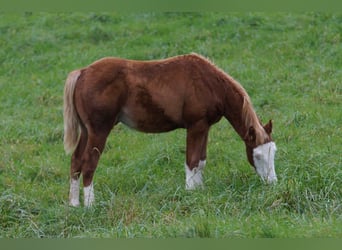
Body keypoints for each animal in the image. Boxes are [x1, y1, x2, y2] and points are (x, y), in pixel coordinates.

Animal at [65, 52, 278, 207]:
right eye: (257, 155)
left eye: (274, 152)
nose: (272, 183)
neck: (209, 82)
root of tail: (82, 72)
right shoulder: (196, 126)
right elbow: (192, 161)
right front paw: (190, 193)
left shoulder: (205, 127)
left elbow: (201, 161)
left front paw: (199, 190)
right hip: (99, 131)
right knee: (89, 163)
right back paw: (90, 205)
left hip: (87, 131)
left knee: (76, 160)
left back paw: (74, 204)